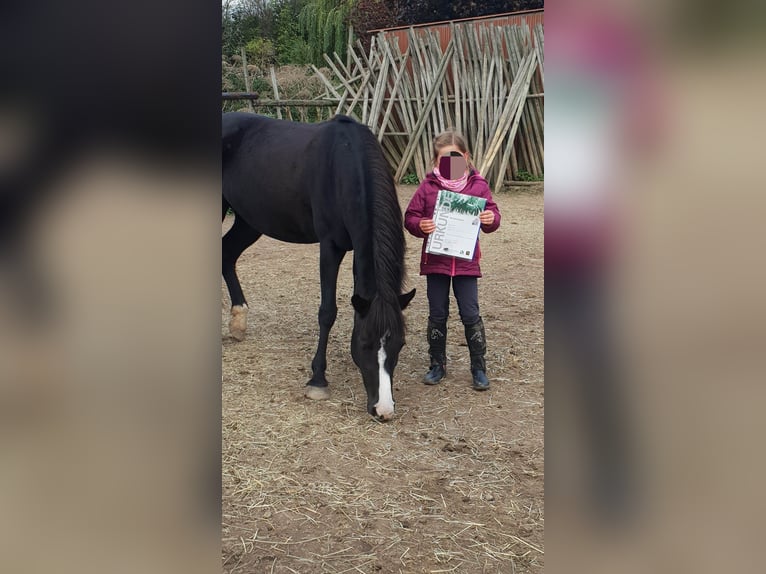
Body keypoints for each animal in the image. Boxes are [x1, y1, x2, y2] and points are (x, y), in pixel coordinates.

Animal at [222, 112, 416, 420]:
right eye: (365, 343)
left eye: (400, 343)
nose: (383, 409)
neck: (344, 165)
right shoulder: (330, 246)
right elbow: (327, 312)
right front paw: (317, 380)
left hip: (248, 220)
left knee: (226, 254)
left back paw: (238, 320)